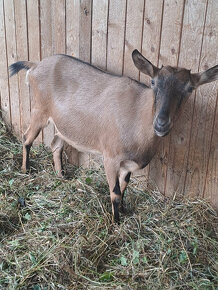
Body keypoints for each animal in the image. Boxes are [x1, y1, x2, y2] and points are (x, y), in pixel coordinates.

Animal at [9, 50, 218, 222]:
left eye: (190, 88)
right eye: (153, 82)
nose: (161, 123)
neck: (137, 117)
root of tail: (34, 65)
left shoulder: (127, 164)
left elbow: (124, 186)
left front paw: (124, 211)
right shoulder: (110, 158)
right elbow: (115, 192)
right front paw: (115, 222)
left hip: (64, 125)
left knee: (56, 144)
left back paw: (61, 175)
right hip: (39, 111)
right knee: (27, 138)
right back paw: (25, 169)